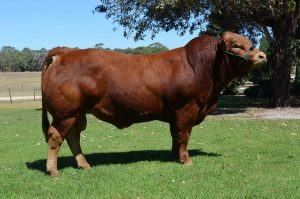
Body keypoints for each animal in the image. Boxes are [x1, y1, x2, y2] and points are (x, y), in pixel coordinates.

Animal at [41, 31, 266, 176]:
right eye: (236, 45)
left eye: (249, 41)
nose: (262, 55)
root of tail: (65, 52)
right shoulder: (187, 109)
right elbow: (184, 135)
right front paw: (186, 160)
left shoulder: (175, 114)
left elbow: (175, 136)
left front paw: (175, 156)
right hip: (66, 113)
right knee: (56, 136)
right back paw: (53, 170)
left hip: (77, 113)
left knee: (73, 137)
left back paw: (84, 164)